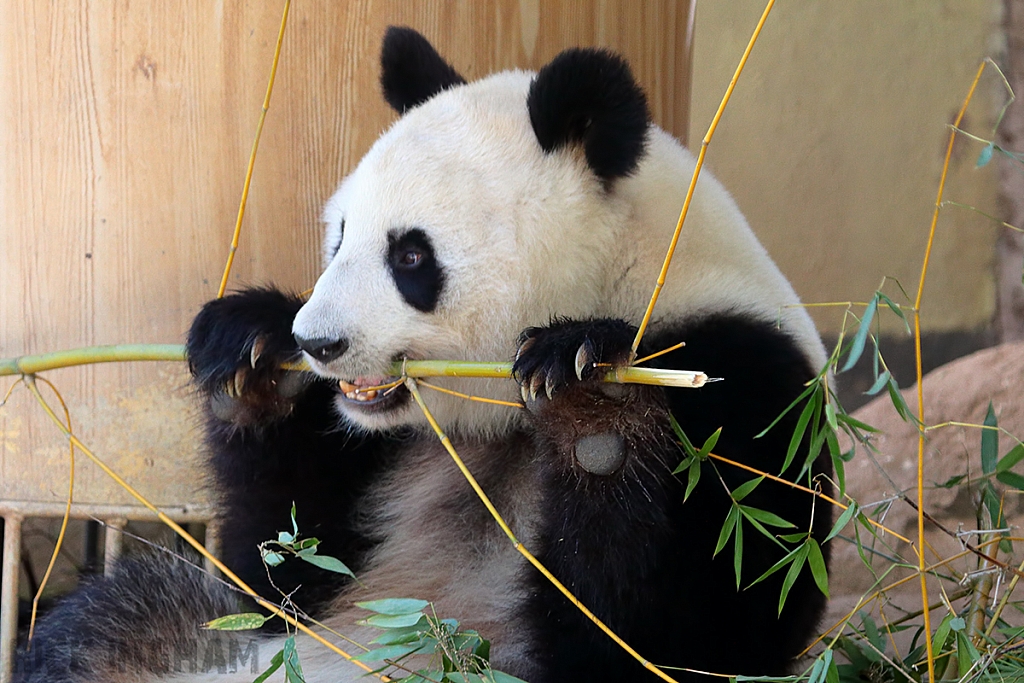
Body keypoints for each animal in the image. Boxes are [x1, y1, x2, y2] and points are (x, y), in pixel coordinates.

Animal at [16, 25, 831, 683]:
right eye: (339, 235)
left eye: (410, 255)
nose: (318, 343)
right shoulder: (371, 465)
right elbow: (277, 578)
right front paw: (251, 353)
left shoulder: (745, 391)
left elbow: (688, 634)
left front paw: (597, 410)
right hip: (185, 645)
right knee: (108, 626)